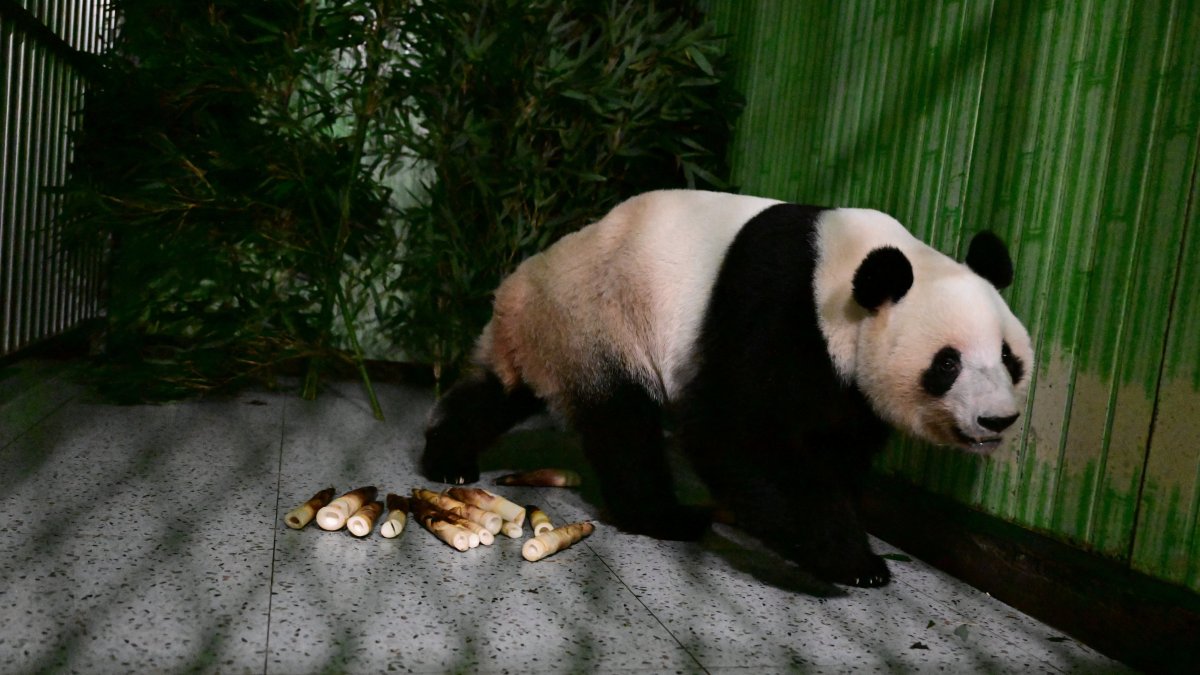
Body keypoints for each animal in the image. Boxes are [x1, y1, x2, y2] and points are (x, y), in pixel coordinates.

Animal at [421, 189, 1034, 588]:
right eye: (947, 363)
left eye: (1010, 358)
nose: (997, 420)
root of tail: (518, 286)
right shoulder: (778, 305)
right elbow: (734, 428)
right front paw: (851, 559)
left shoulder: (846, 383)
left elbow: (834, 443)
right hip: (598, 320)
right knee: (624, 426)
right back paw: (666, 517)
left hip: (552, 336)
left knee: (497, 394)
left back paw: (448, 458)